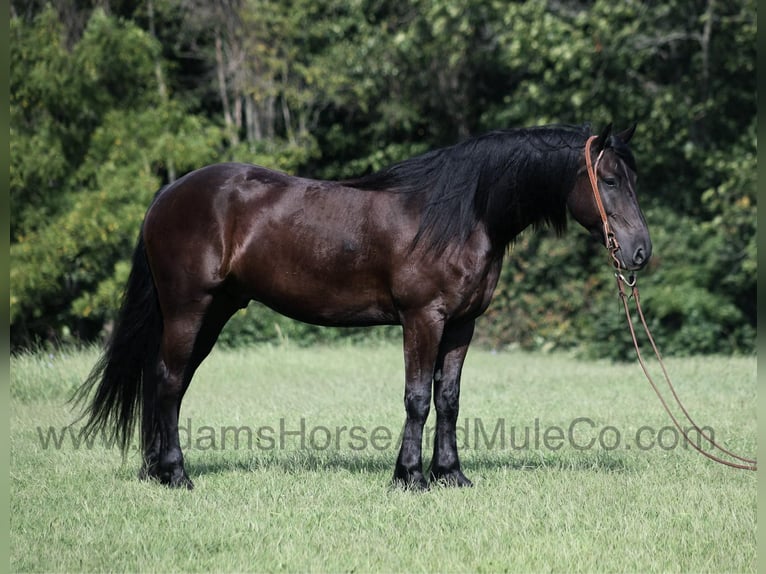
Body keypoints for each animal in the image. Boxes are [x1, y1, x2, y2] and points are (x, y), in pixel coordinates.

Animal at [75, 121, 652, 490]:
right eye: (609, 180)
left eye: (632, 179)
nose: (640, 252)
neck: (462, 215)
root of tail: (167, 195)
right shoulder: (423, 318)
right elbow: (417, 398)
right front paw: (410, 477)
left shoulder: (462, 325)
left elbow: (448, 399)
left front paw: (451, 475)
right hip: (189, 309)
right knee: (170, 381)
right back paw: (176, 474)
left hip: (213, 313)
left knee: (165, 381)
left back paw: (155, 470)